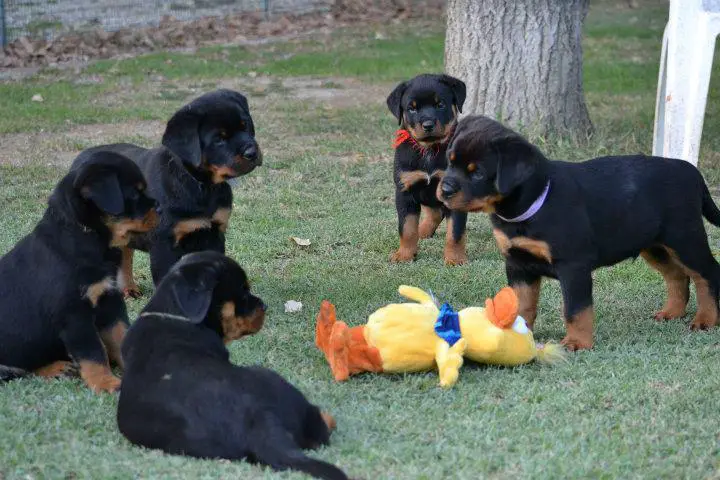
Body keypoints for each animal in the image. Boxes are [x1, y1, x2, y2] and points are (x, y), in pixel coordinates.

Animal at [0, 152, 158, 392]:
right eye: (133, 193)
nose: (161, 207)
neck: (89, 236)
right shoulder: (74, 315)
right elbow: (93, 353)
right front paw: (107, 383)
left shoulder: (110, 298)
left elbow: (120, 335)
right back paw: (57, 368)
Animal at [74, 88, 264, 294]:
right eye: (219, 139)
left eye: (245, 126)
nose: (252, 152)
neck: (200, 186)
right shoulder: (164, 244)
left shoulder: (214, 234)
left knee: (125, 252)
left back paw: (129, 288)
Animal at [386, 73, 470, 264]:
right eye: (412, 109)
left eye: (440, 105)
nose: (428, 125)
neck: (430, 149)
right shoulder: (405, 191)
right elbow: (407, 228)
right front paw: (404, 254)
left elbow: (454, 232)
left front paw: (455, 259)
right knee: (434, 213)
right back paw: (423, 231)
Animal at [436, 115, 720, 350]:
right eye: (450, 161)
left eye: (478, 173)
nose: (444, 190)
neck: (534, 202)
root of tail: (691, 171)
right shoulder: (518, 264)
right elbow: (522, 304)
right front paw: (518, 335)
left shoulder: (573, 265)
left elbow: (575, 309)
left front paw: (577, 342)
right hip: (653, 244)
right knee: (677, 275)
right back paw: (672, 312)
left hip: (684, 238)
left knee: (706, 273)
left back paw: (706, 320)